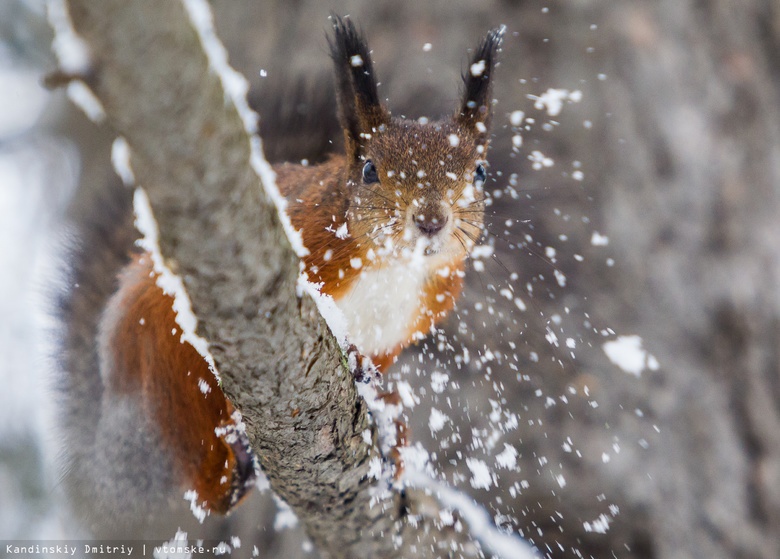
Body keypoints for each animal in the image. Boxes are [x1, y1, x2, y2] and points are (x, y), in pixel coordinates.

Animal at [58, 15, 502, 528]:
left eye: (480, 173)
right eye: (370, 170)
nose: (431, 221)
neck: (393, 267)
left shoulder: (404, 326)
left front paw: (385, 407)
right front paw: (351, 355)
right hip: (160, 364)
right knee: (203, 476)